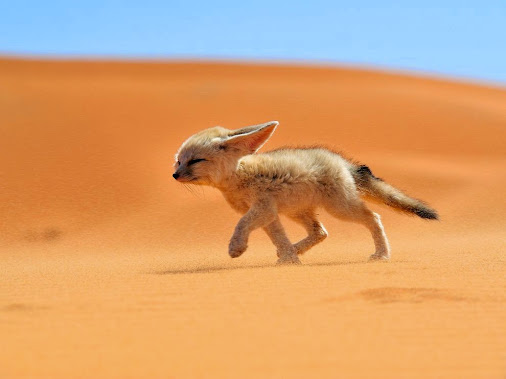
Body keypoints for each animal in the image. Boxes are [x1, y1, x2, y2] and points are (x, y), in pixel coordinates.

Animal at [172, 121, 436, 264]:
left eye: (195, 161)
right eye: (179, 161)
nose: (175, 175)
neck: (239, 175)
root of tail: (342, 161)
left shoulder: (262, 209)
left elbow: (241, 224)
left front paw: (236, 248)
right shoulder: (269, 214)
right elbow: (279, 238)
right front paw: (290, 259)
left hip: (340, 208)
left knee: (374, 217)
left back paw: (382, 254)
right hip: (297, 212)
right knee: (321, 232)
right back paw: (293, 251)